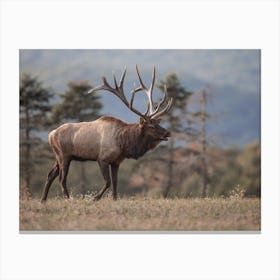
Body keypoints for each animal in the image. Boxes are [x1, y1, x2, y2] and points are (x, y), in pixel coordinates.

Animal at [41, 65, 173, 201]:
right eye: (151, 126)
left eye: (157, 123)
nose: (167, 133)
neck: (123, 144)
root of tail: (50, 134)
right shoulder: (102, 158)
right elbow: (108, 182)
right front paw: (95, 198)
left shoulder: (116, 161)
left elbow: (115, 181)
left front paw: (114, 199)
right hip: (64, 156)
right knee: (61, 179)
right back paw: (69, 199)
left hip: (58, 156)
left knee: (50, 175)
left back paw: (43, 200)